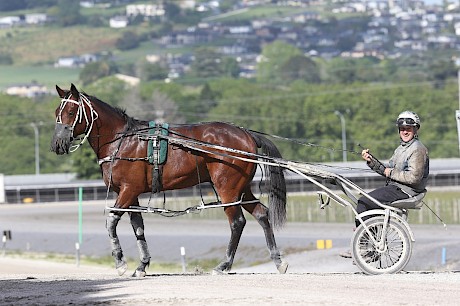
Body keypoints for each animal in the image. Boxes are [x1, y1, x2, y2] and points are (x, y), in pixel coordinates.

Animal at [50, 84, 288, 278]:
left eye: (71, 112)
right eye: (56, 113)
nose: (56, 144)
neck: (123, 141)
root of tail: (246, 134)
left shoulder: (128, 190)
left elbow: (111, 222)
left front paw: (120, 263)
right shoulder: (130, 194)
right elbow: (138, 227)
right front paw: (142, 265)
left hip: (226, 188)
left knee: (237, 222)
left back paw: (224, 265)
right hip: (241, 187)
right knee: (261, 213)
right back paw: (278, 260)